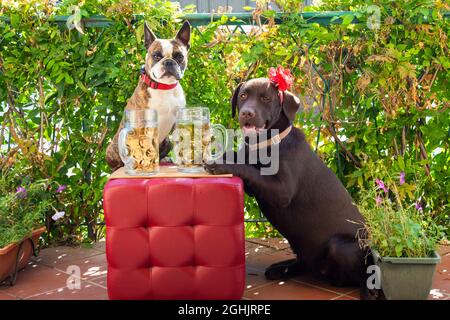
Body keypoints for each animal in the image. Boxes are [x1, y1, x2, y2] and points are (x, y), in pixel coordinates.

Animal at [106, 20, 191, 170]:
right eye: (156, 56)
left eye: (179, 56)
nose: (168, 62)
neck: (164, 87)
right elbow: (146, 146)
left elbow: (178, 142)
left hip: (166, 142)